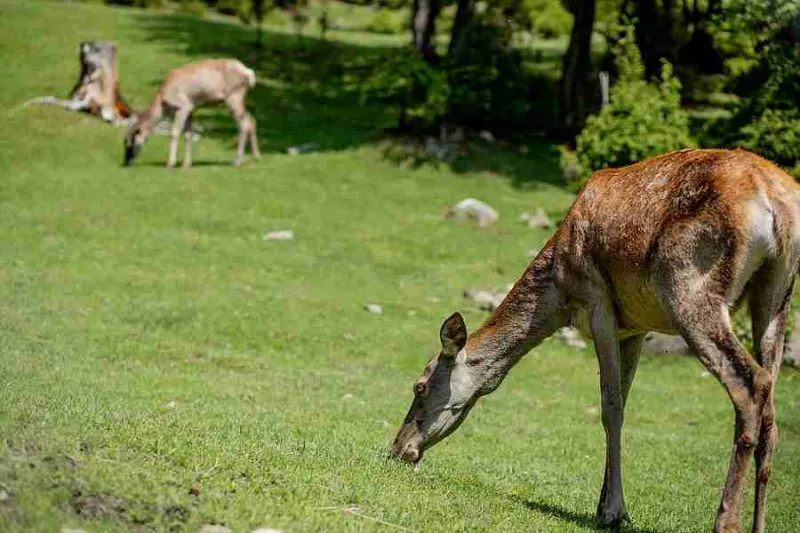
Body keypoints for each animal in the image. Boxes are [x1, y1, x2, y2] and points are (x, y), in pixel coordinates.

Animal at [124, 58, 260, 168]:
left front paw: (170, 164)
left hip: (233, 98)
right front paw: (186, 164)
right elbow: (188, 134)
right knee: (251, 120)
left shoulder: (183, 107)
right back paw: (255, 157)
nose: (126, 163)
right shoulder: (191, 109)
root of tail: (249, 73)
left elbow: (174, 133)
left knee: (243, 124)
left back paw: (237, 161)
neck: (163, 101)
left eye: (129, 142)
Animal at [391, 149, 800, 533]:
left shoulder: (598, 301)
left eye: (420, 386)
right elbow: (624, 400)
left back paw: (726, 521)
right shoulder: (635, 326)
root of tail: (776, 205)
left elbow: (610, 407)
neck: (558, 289)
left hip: (690, 288)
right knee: (771, 408)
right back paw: (759, 523)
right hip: (775, 298)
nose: (397, 447)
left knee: (751, 382)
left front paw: (613, 511)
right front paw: (605, 504)